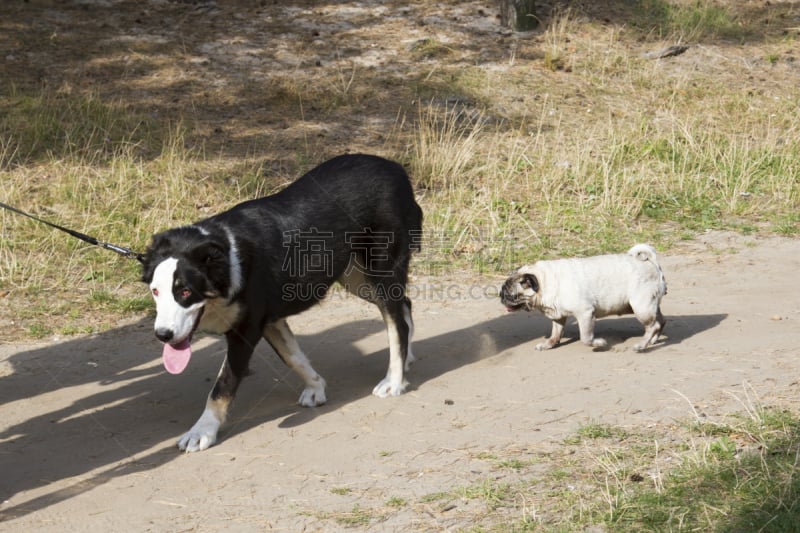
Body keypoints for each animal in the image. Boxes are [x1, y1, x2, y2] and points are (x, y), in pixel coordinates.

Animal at [141, 153, 422, 448]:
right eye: (155, 291)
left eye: (185, 292)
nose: (163, 335)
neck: (227, 257)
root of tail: (395, 167)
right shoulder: (269, 321)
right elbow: (294, 357)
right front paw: (316, 386)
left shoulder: (246, 330)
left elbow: (222, 386)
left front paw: (202, 429)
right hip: (356, 278)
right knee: (405, 306)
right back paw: (406, 361)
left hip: (380, 270)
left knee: (397, 323)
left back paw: (394, 380)